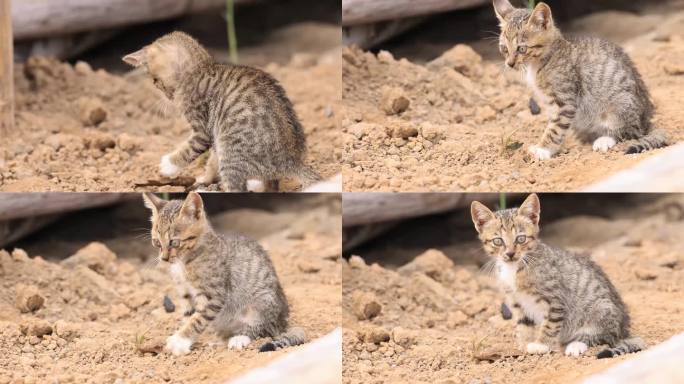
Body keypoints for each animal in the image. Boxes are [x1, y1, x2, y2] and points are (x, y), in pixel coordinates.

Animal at [123, 32, 320, 191]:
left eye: (155, 81)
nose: (167, 95)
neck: (200, 68)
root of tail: (291, 161)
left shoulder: (201, 128)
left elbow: (189, 149)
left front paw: (168, 165)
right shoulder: (213, 135)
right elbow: (211, 161)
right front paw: (204, 178)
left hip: (231, 150)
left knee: (237, 188)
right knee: (270, 185)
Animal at [143, 194, 306, 356]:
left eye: (174, 242)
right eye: (156, 242)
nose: (164, 258)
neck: (185, 262)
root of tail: (283, 321)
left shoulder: (214, 295)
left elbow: (198, 320)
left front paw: (180, 340)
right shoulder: (185, 293)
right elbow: (189, 316)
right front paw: (185, 341)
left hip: (261, 302)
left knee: (263, 328)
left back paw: (239, 338)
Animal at [472, 194, 644, 358]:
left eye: (520, 238)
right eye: (498, 241)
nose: (510, 254)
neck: (515, 268)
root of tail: (624, 328)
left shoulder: (555, 300)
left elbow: (550, 325)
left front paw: (541, 345)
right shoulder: (516, 302)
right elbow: (524, 325)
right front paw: (524, 344)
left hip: (602, 309)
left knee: (605, 336)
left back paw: (576, 345)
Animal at [494, 0, 664, 159]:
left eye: (522, 49)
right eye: (504, 49)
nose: (509, 64)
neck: (542, 61)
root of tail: (647, 119)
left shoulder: (565, 101)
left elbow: (555, 128)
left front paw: (543, 149)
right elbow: (555, 125)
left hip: (621, 105)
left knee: (631, 132)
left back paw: (604, 140)